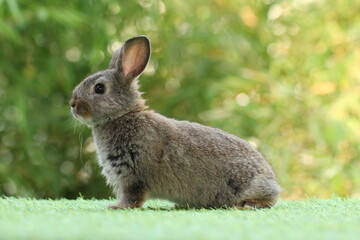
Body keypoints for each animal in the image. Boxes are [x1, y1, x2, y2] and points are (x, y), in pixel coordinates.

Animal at [69, 35, 280, 210]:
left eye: (99, 88)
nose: (72, 104)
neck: (123, 115)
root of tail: (273, 182)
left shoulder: (133, 175)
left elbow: (133, 196)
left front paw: (116, 207)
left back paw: (246, 205)